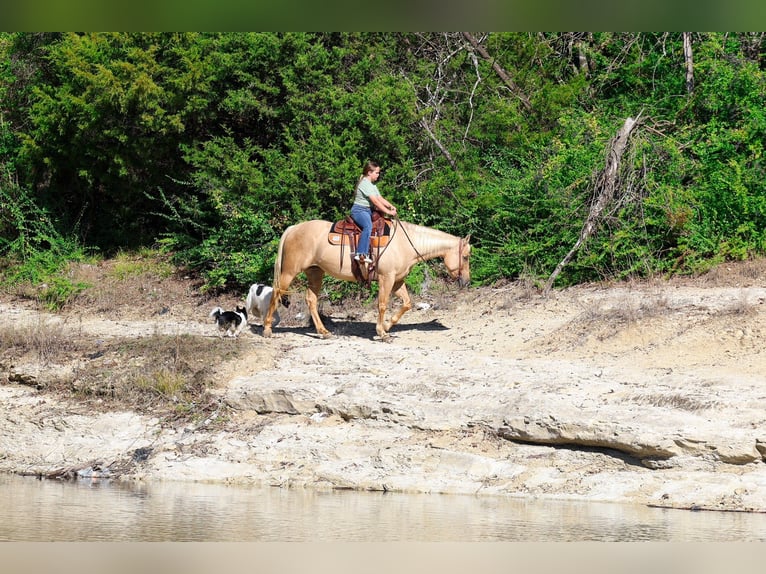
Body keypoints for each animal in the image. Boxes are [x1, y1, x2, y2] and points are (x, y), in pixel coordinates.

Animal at [262, 218, 471, 341]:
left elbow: (407, 303)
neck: (404, 243)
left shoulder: (397, 281)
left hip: (315, 272)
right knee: (276, 293)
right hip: (289, 271)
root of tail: (294, 228)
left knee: (311, 299)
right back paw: (267, 329)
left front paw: (386, 326)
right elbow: (382, 304)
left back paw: (323, 332)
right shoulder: (387, 278)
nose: (467, 282)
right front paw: (382, 332)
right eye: (466, 256)